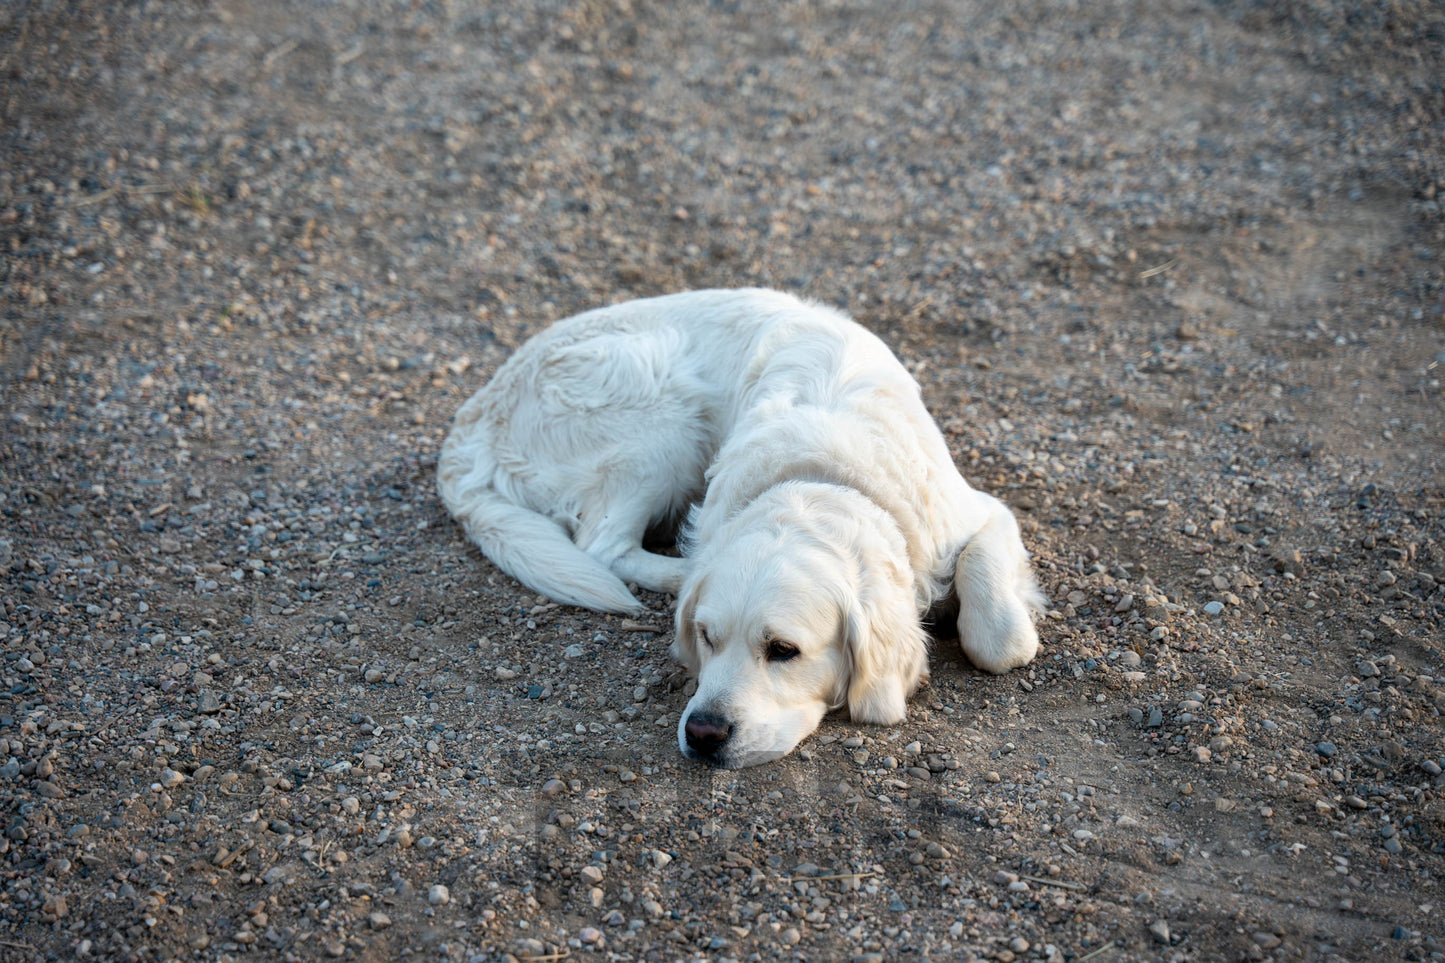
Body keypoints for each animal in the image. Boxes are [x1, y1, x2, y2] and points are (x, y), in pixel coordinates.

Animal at [433, 289, 1046, 769]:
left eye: (783, 650)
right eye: (707, 636)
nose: (704, 733)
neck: (822, 478)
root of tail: (477, 413)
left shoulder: (980, 512)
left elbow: (1002, 640)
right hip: (665, 410)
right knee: (602, 546)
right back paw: (679, 569)